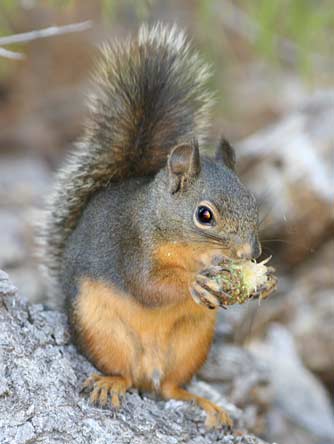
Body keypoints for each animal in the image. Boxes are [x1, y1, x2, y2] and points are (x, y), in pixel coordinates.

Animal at [41, 24, 260, 430]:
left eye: (253, 202)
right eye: (204, 215)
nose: (249, 253)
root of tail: (149, 369)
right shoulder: (132, 245)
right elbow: (147, 286)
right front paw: (195, 283)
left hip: (192, 344)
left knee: (171, 388)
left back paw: (207, 404)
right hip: (99, 328)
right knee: (125, 374)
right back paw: (111, 383)